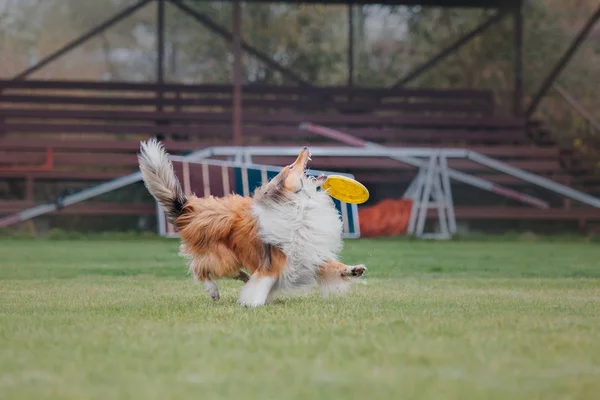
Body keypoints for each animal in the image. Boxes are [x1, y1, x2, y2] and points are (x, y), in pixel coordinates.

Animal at [138, 139, 366, 308]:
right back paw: (214, 290)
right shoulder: (274, 263)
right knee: (199, 268)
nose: (305, 147)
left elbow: (332, 265)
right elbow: (261, 286)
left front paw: (353, 270)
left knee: (232, 273)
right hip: (222, 258)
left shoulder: (307, 253)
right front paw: (252, 303)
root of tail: (192, 210)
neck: (299, 205)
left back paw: (246, 279)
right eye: (291, 166)